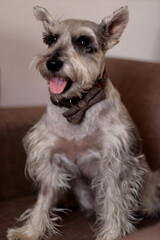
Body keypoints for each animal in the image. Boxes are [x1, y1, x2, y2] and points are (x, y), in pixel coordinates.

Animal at [7, 5, 160, 240]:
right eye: (50, 39)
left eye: (83, 42)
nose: (52, 63)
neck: (76, 106)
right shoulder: (49, 158)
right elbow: (44, 198)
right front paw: (31, 230)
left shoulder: (114, 162)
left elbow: (115, 202)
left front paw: (112, 233)